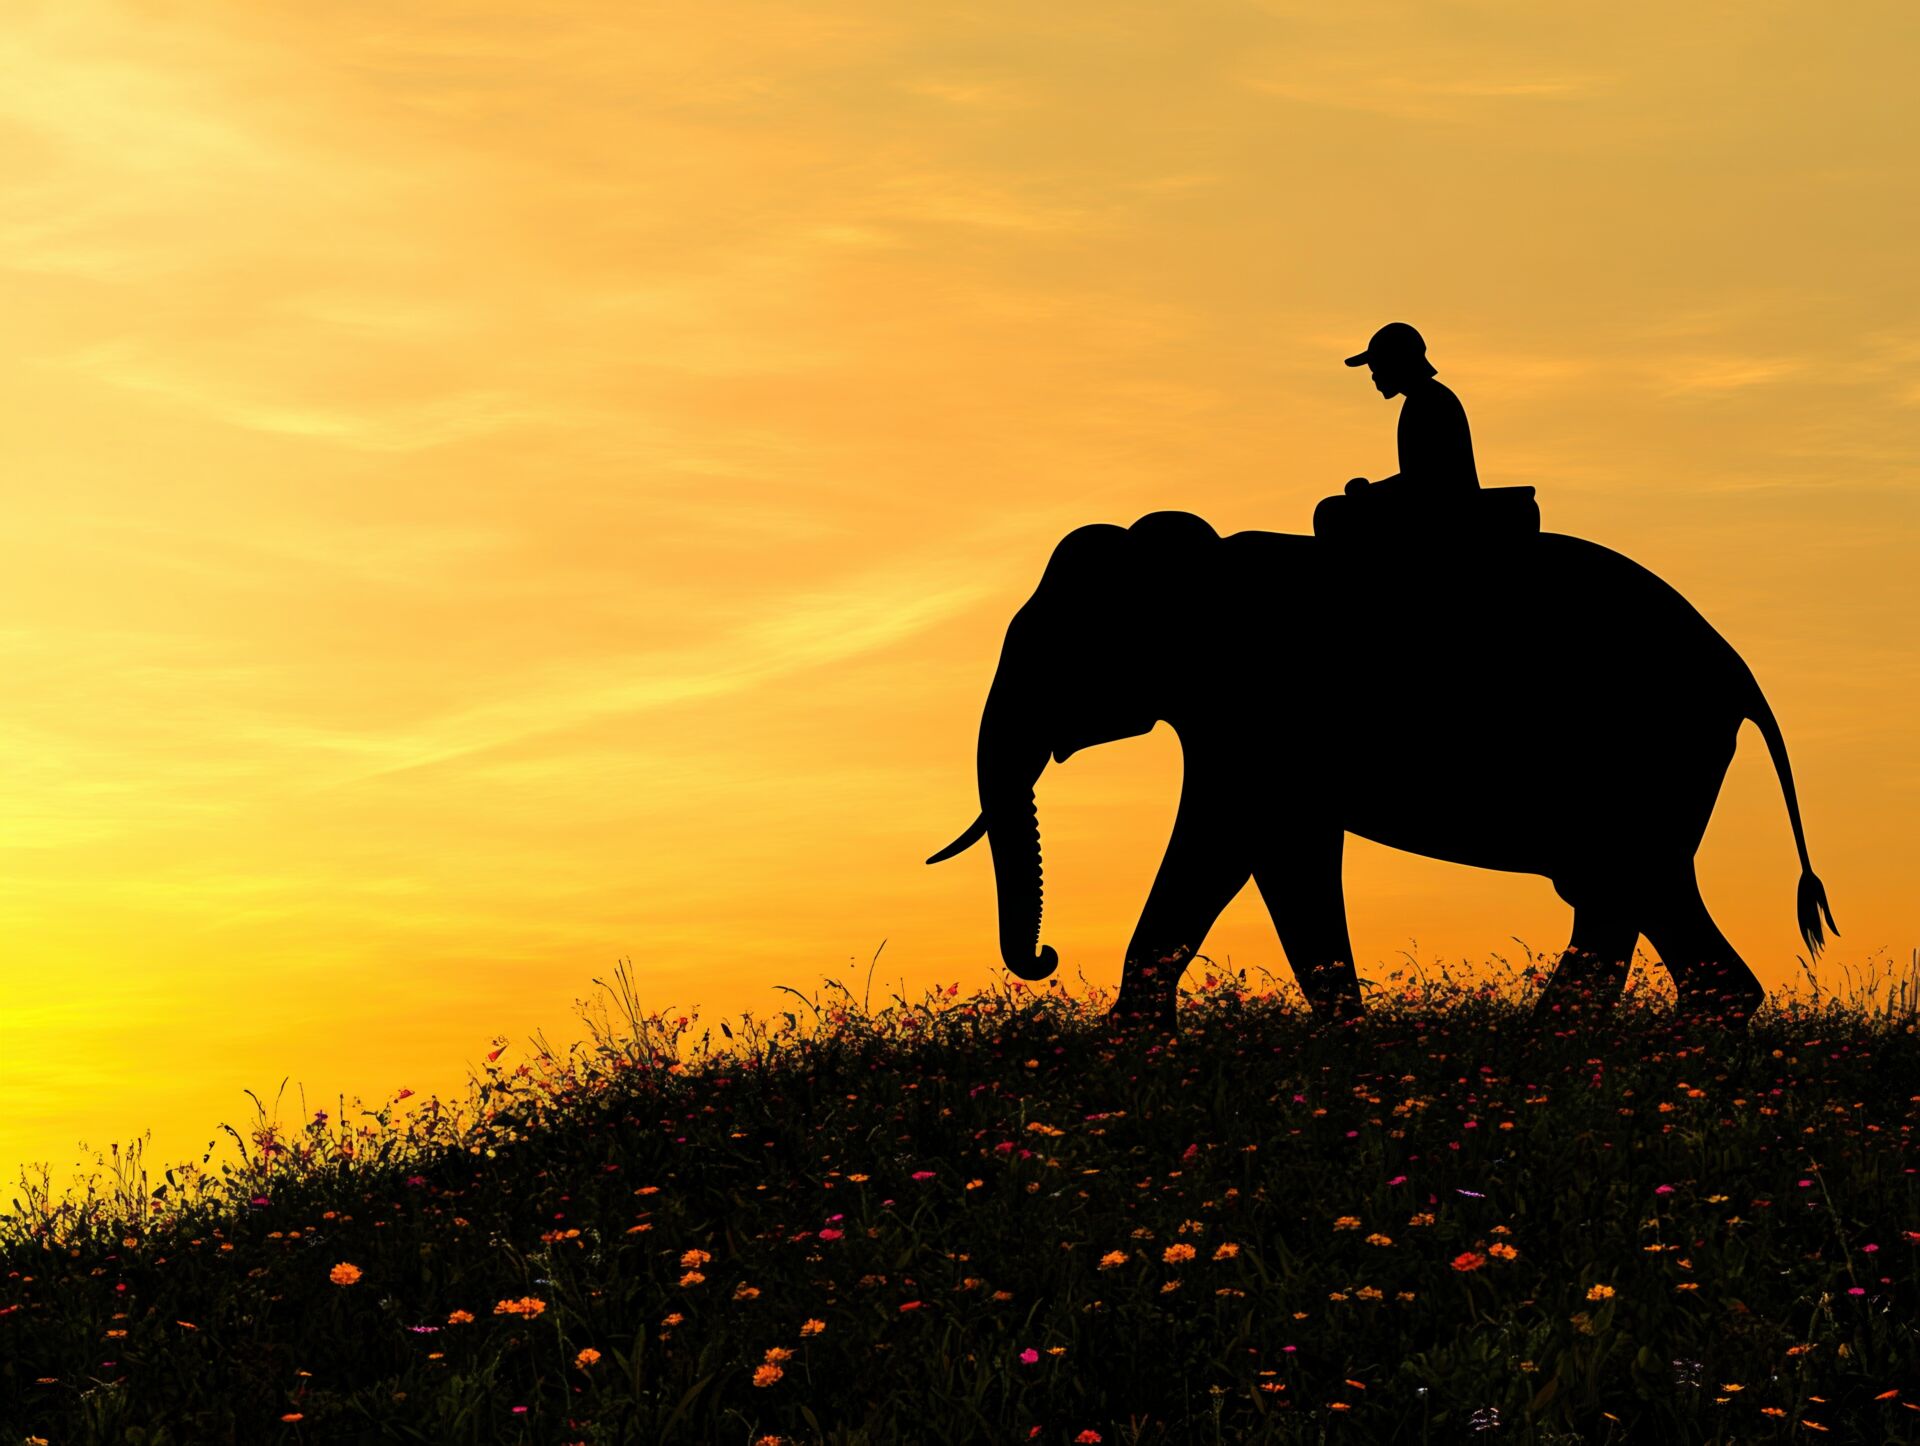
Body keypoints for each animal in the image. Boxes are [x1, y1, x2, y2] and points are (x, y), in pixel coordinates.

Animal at [928, 509, 1836, 1032]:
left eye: (1056, 650)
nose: (1044, 960)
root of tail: (1740, 672)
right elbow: (1259, 854)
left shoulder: (1263, 711)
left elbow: (1242, 846)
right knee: (1625, 895)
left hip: (1647, 752)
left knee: (1629, 886)